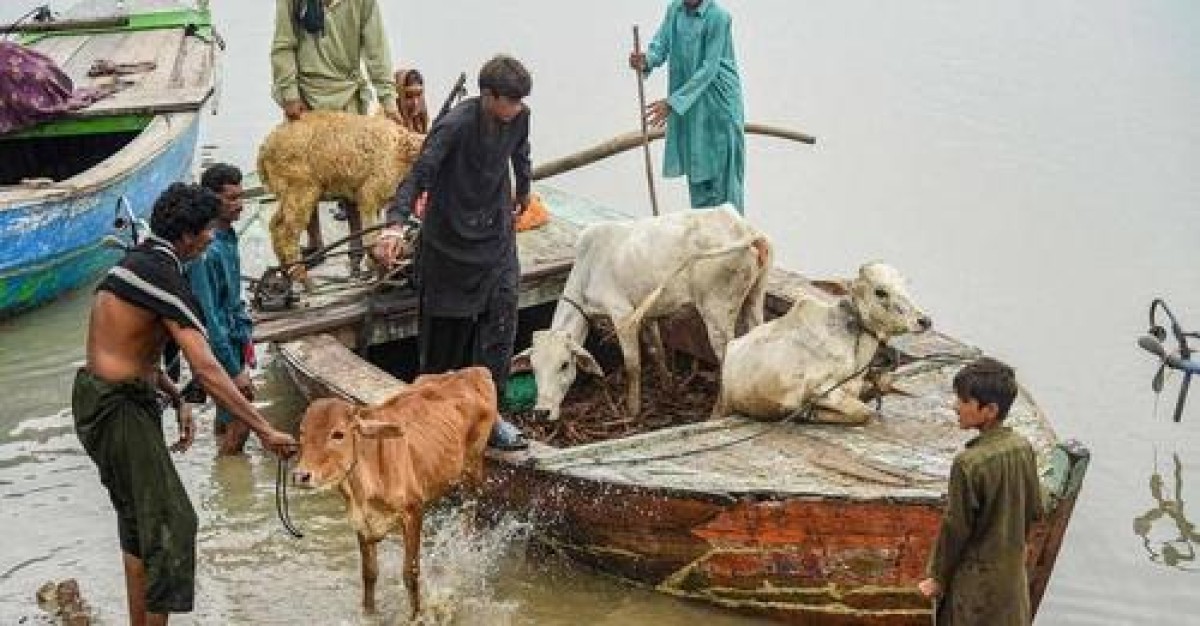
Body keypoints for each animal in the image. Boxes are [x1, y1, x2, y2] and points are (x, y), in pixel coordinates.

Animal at [255, 109, 424, 283]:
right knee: (286, 232)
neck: (402, 152)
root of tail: (264, 151)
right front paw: (375, 265)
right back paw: (301, 275)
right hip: (301, 188)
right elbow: (370, 231)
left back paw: (284, 271)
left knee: (275, 225)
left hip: (287, 191)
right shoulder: (369, 194)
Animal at [520, 208, 772, 419]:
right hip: (754, 297)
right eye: (533, 367)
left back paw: (718, 413)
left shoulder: (623, 315)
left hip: (715, 310)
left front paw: (632, 410)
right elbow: (656, 351)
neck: (587, 270)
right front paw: (668, 388)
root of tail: (747, 230)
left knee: (727, 356)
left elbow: (632, 365)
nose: (542, 412)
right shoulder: (648, 315)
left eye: (564, 364)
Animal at [715, 257, 931, 424]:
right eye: (880, 292)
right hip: (725, 403)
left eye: (905, 286)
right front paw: (807, 414)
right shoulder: (818, 388)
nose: (925, 321)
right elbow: (864, 412)